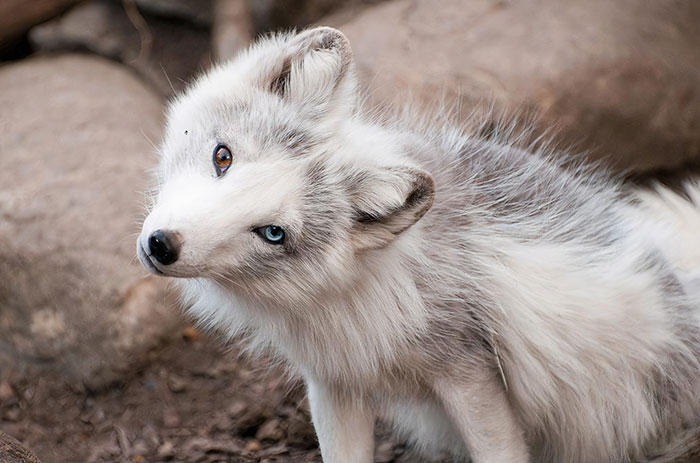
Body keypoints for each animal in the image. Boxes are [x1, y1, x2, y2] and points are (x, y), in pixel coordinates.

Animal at [137, 27, 700, 463]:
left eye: (273, 232)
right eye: (223, 156)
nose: (161, 245)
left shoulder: (468, 372)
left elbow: (499, 451)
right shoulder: (333, 381)